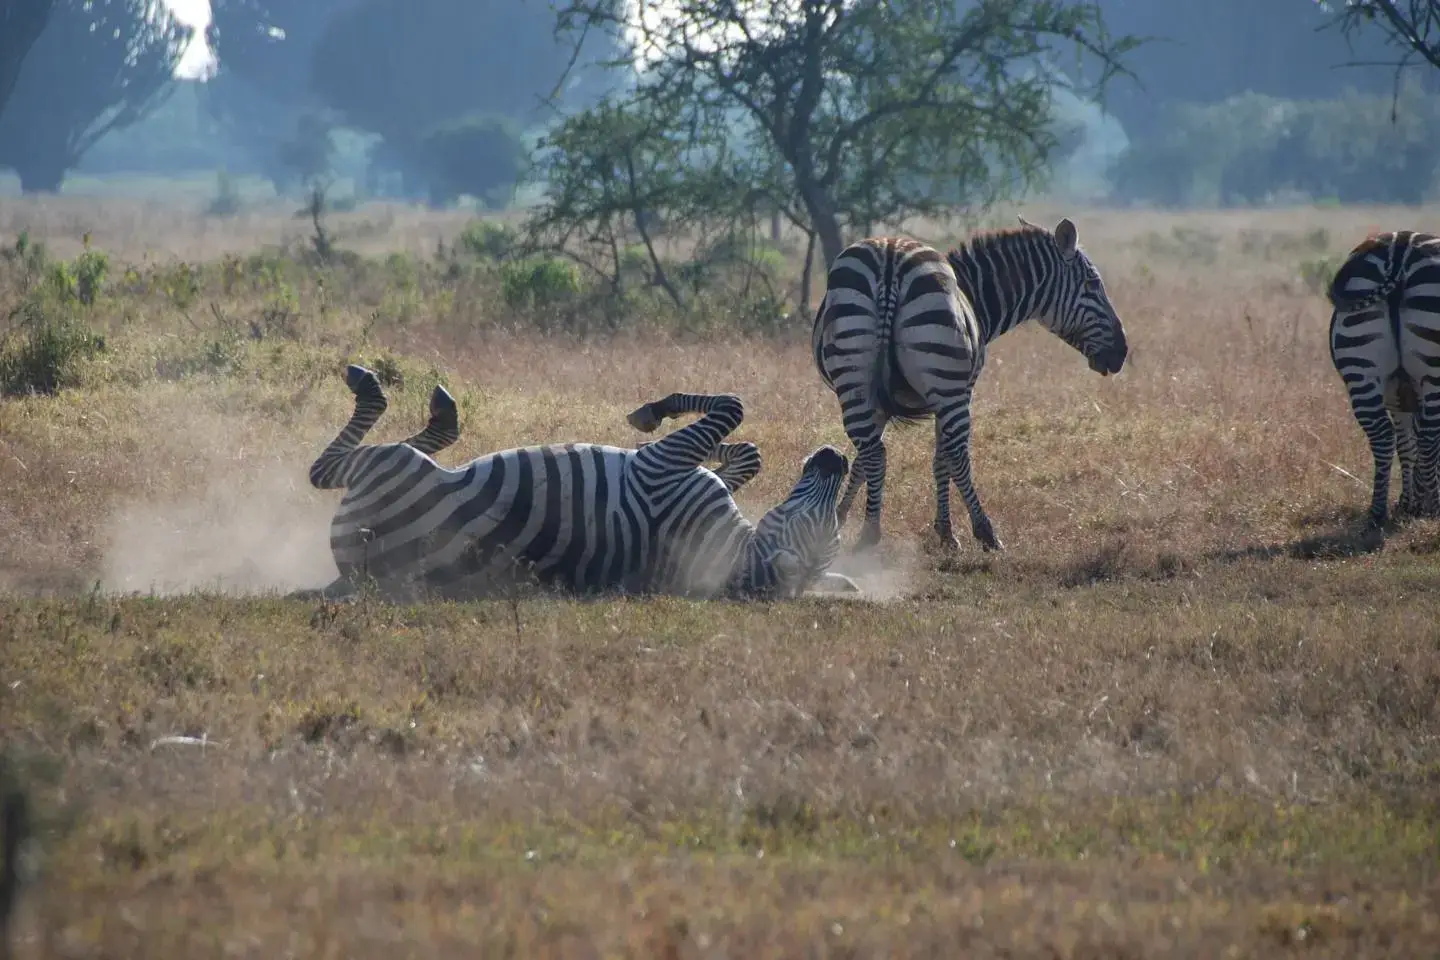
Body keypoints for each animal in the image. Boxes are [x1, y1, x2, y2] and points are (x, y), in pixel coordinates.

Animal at [306, 364, 859, 602]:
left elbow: (732, 406)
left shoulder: (662, 466)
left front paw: (650, 411)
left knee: (326, 468)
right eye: (825, 521)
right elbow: (747, 451)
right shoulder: (677, 468)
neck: (729, 553)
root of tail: (352, 574)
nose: (837, 457)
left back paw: (378, 386)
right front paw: (723, 454)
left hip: (388, 469)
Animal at [811, 216, 1129, 554]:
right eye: (1092, 284)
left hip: (854, 379)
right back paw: (985, 530)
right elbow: (942, 459)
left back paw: (870, 531)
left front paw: (838, 515)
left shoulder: (880, 404)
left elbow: (861, 460)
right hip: (946, 384)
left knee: (874, 451)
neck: (974, 297)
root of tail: (889, 258)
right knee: (956, 453)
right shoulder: (958, 391)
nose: (1122, 352)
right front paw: (947, 532)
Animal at [1326, 230, 1440, 528]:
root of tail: (1399, 248)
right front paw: (1417, 502)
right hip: (1433, 371)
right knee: (1429, 437)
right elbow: (1417, 443)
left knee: (1383, 436)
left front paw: (1409, 502)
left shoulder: (1399, 397)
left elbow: (1406, 445)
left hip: (1360, 368)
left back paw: (1378, 511)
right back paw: (1434, 507)